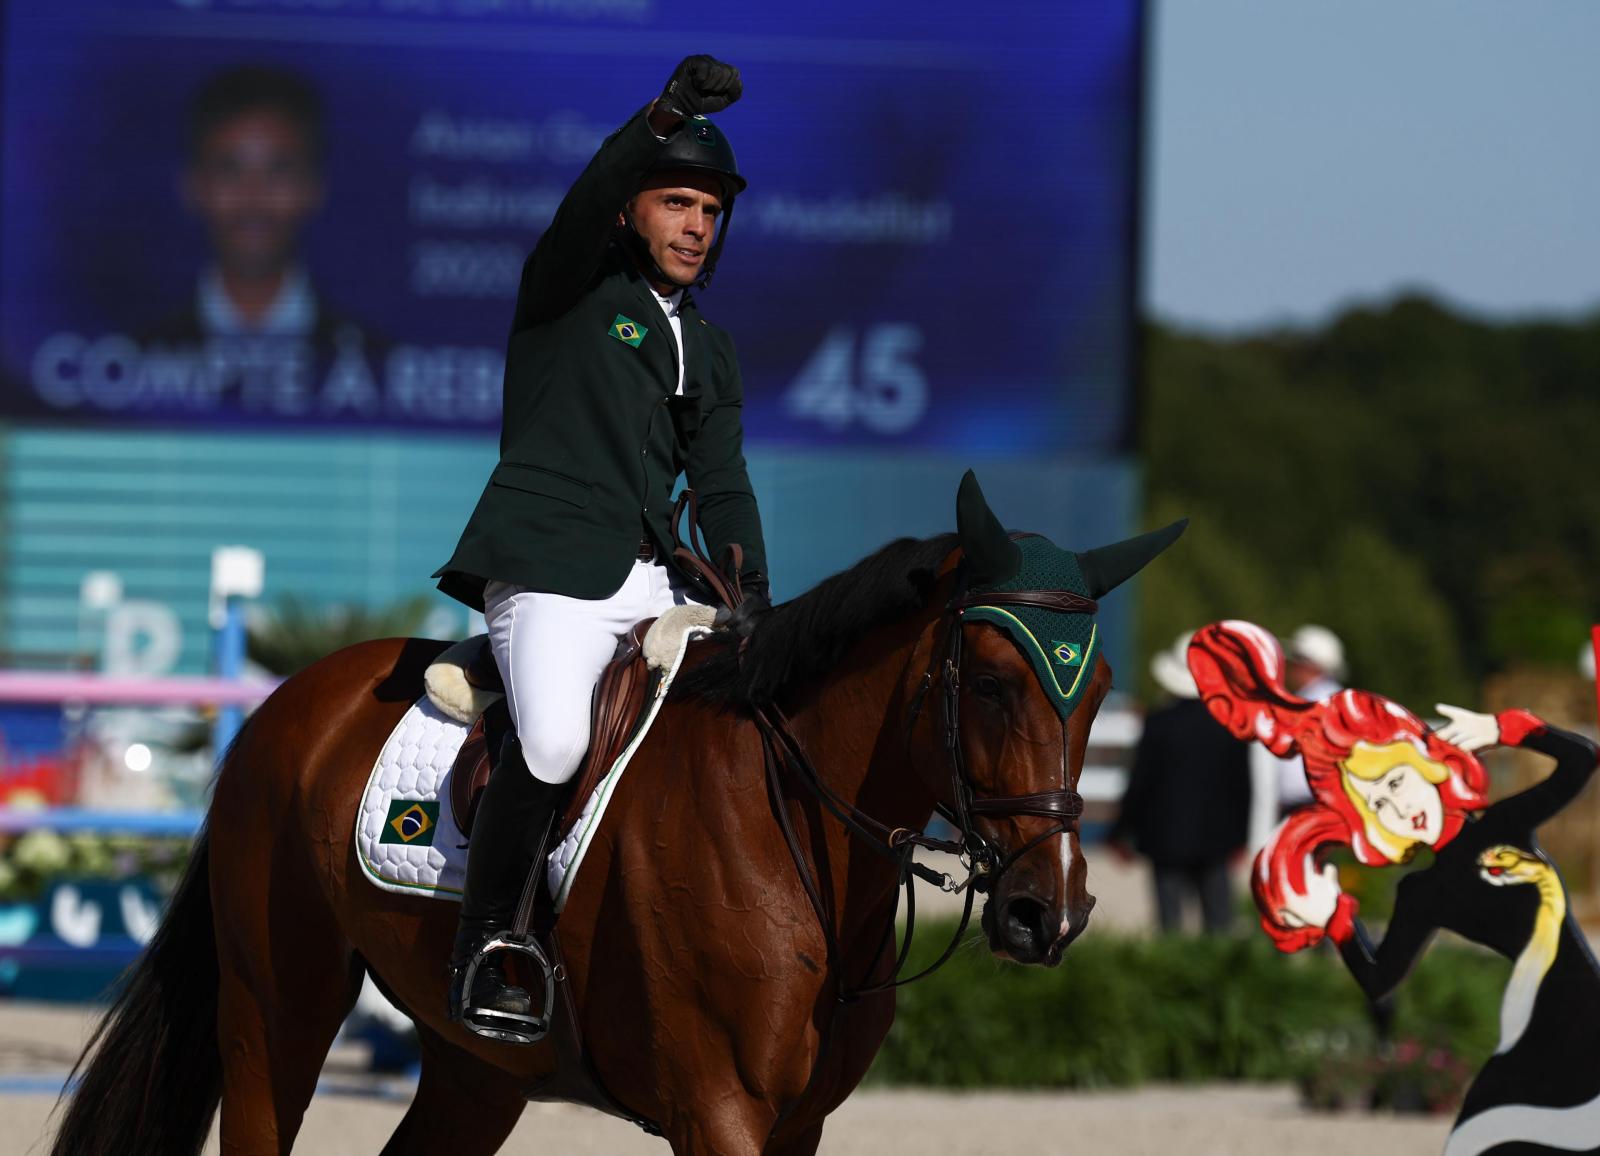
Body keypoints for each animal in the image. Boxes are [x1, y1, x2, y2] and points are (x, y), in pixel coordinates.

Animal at [50, 470, 1184, 1152]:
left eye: (1099, 688)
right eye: (988, 682)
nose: (1048, 913)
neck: (794, 829)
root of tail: (285, 708)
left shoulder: (798, 1123)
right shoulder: (716, 1111)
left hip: (477, 1067)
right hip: (276, 1010)